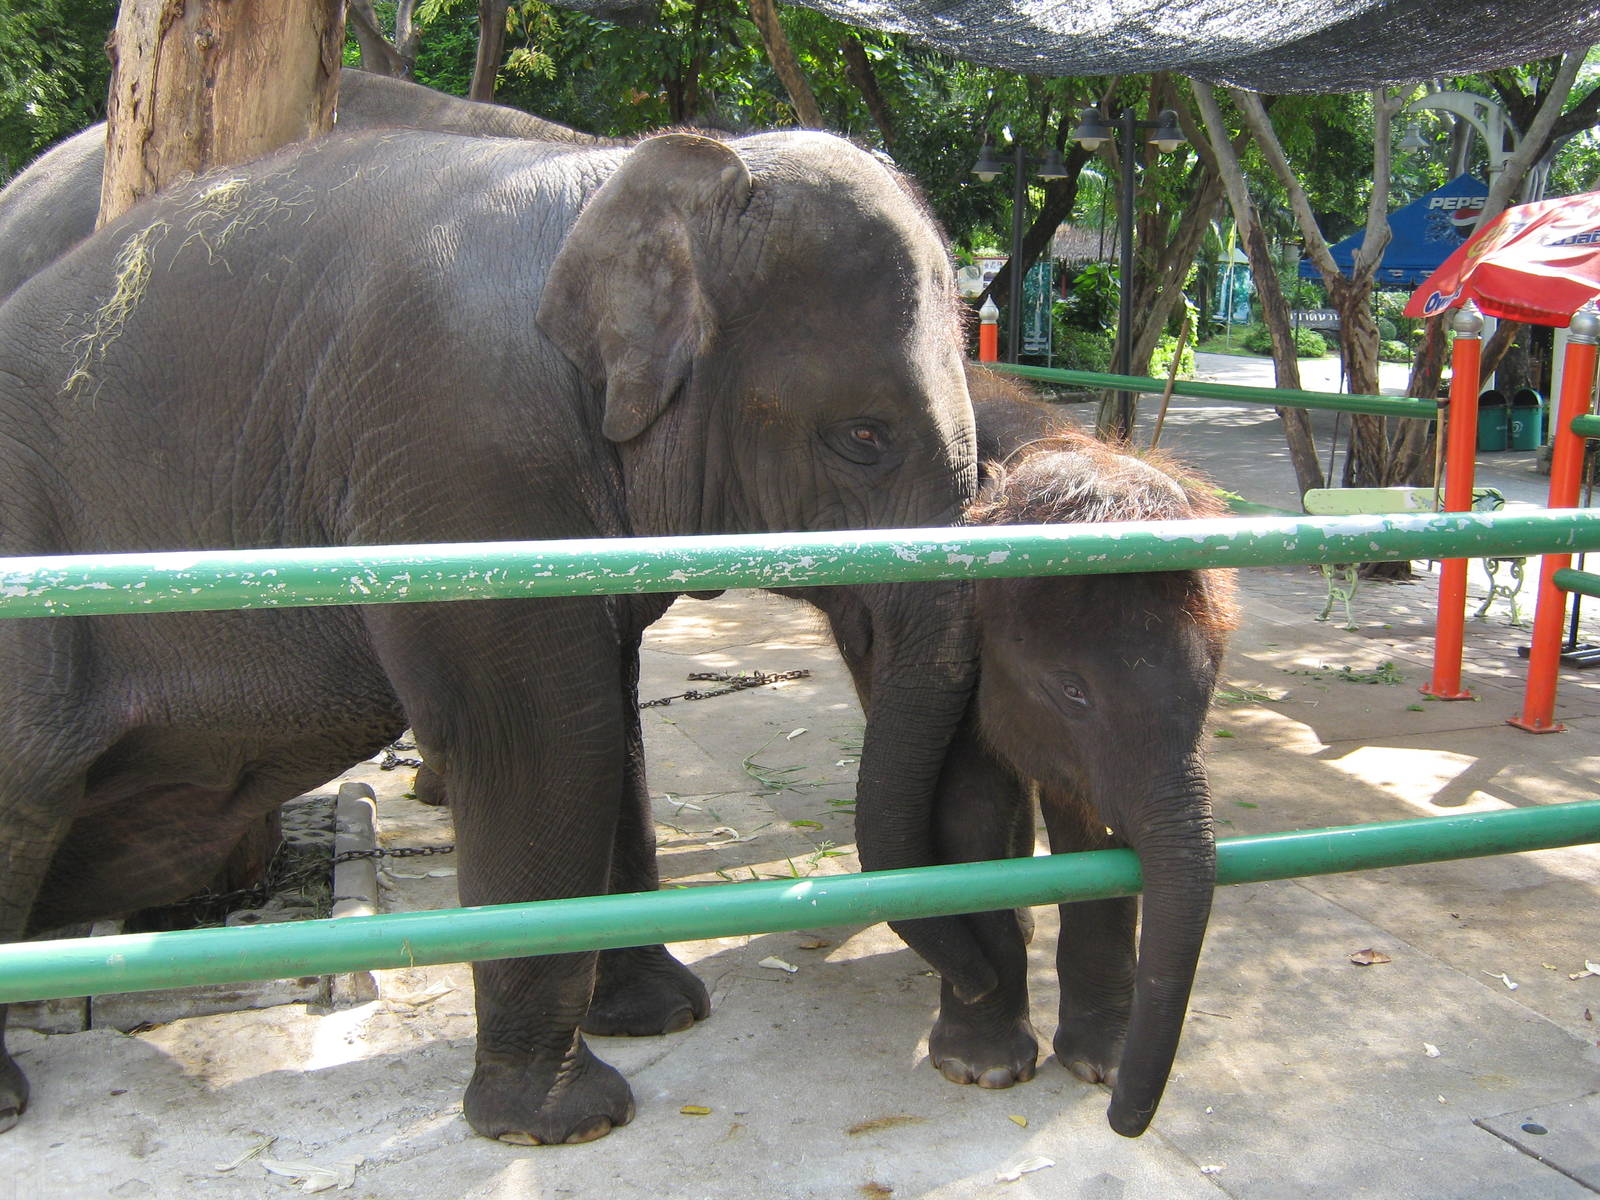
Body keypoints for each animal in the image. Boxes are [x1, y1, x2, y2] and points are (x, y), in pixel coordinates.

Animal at [0, 124, 981, 1144]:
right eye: (863, 437)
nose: (970, 1032)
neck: (613, 184)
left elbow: (611, 727)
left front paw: (659, 1015)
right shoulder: (460, 450)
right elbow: (544, 735)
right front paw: (566, 1122)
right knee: (23, 788)